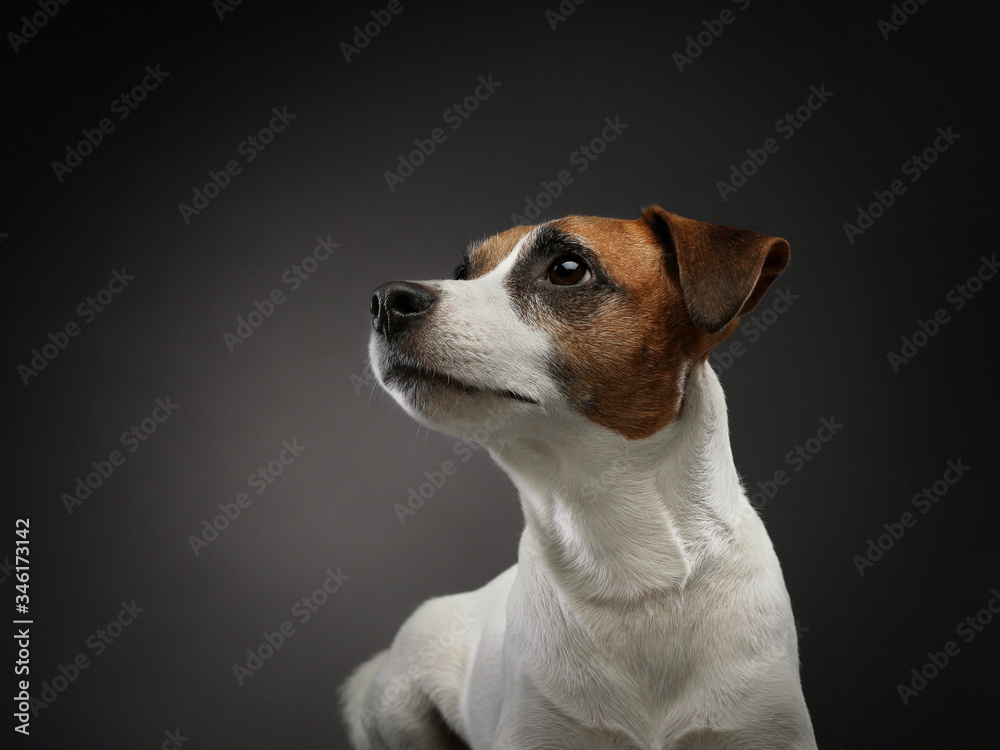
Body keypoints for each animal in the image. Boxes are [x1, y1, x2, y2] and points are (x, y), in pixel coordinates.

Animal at [340, 207, 816, 750]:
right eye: (463, 273)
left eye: (568, 269)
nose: (386, 301)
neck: (628, 568)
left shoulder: (763, 727)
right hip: (398, 704)